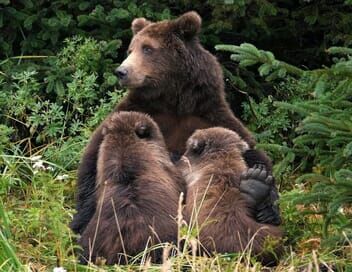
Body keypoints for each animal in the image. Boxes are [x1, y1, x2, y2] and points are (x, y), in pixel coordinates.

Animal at [71, 11, 280, 235]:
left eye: (148, 48)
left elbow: (253, 153)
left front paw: (262, 189)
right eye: (130, 49)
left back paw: (255, 189)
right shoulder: (137, 112)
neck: (174, 100)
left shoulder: (209, 115)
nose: (121, 71)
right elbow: (93, 160)